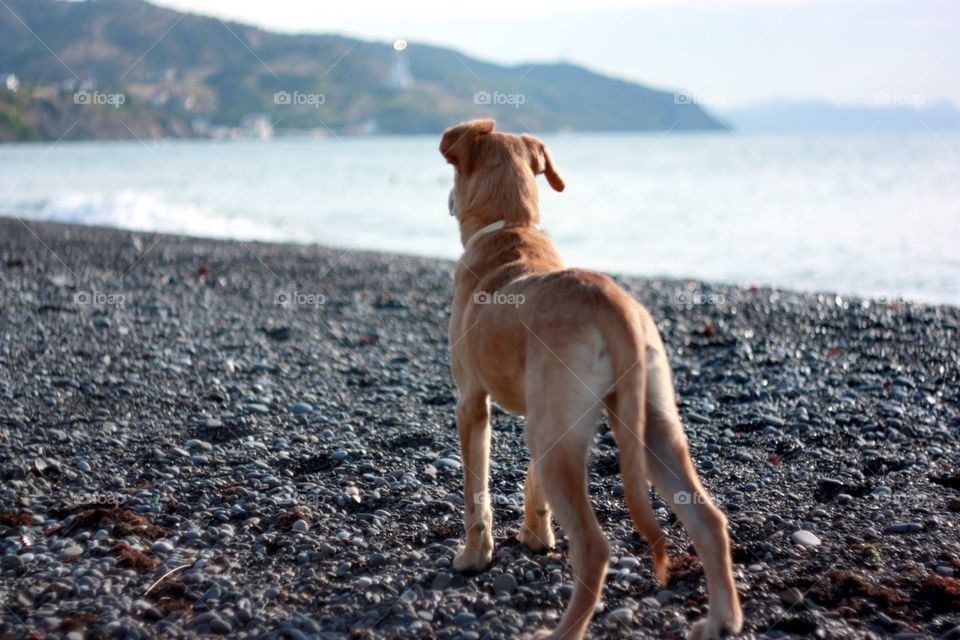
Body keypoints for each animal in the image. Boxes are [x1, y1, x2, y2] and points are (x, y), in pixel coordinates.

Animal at [438, 120, 748, 640]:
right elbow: (532, 483)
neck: (510, 228)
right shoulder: (540, 412)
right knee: (709, 520)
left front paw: (474, 557)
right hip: (646, 424)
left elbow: (476, 494)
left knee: (594, 546)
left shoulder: (471, 403)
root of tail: (613, 305)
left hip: (559, 433)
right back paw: (721, 621)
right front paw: (536, 535)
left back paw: (561, 632)